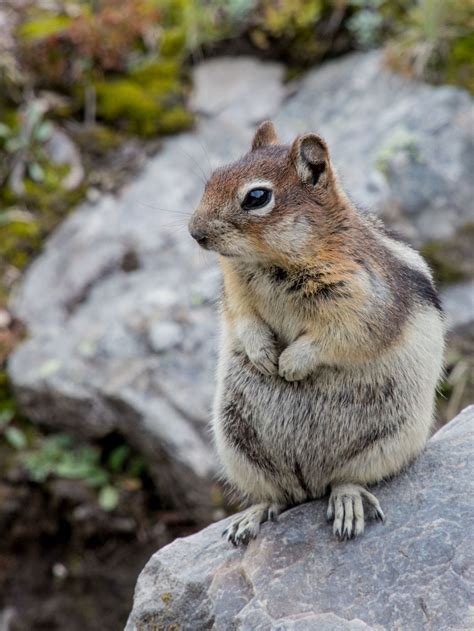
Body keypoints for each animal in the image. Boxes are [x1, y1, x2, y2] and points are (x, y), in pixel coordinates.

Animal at [188, 121, 444, 544]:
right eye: (212, 179)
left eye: (256, 197)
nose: (195, 233)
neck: (270, 263)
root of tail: (309, 482)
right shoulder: (235, 292)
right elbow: (243, 320)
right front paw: (262, 354)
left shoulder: (364, 301)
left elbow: (339, 337)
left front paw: (291, 363)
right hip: (237, 443)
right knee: (277, 496)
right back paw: (252, 515)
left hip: (388, 440)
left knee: (346, 479)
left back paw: (346, 503)